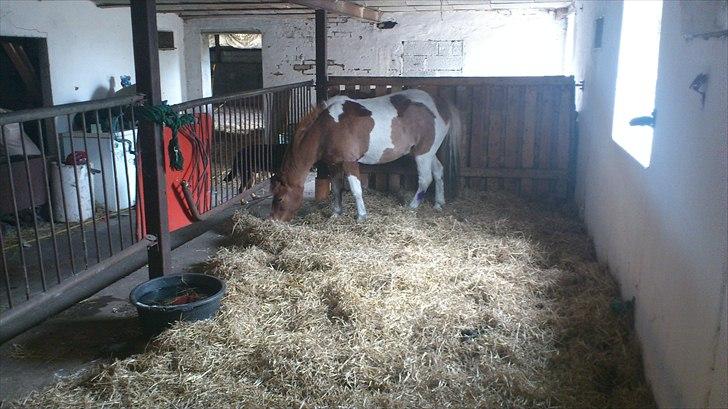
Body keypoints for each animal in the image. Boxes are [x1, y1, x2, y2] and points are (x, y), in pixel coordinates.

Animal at [270, 89, 461, 222]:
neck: (327, 127)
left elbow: (356, 190)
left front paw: (361, 216)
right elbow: (336, 188)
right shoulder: (334, 164)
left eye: (279, 198)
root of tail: (439, 103)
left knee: (425, 179)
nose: (274, 221)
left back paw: (412, 207)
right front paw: (336, 213)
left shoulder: (349, 162)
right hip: (428, 152)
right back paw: (438, 203)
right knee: (438, 172)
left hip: (423, 154)